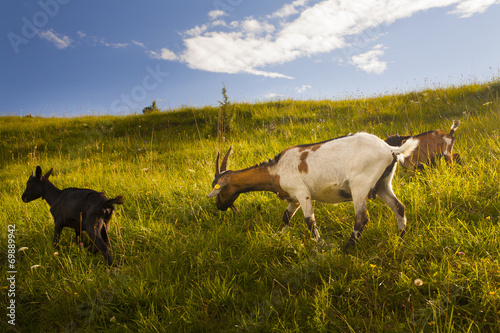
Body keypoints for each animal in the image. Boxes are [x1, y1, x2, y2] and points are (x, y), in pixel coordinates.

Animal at [207, 131, 418, 250]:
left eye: (218, 188)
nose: (219, 206)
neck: (276, 169)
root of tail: (390, 149)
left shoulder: (303, 193)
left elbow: (309, 221)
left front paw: (321, 245)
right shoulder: (293, 197)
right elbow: (286, 217)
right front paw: (279, 237)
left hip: (360, 185)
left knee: (361, 219)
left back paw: (346, 249)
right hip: (383, 185)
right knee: (399, 207)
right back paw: (400, 238)